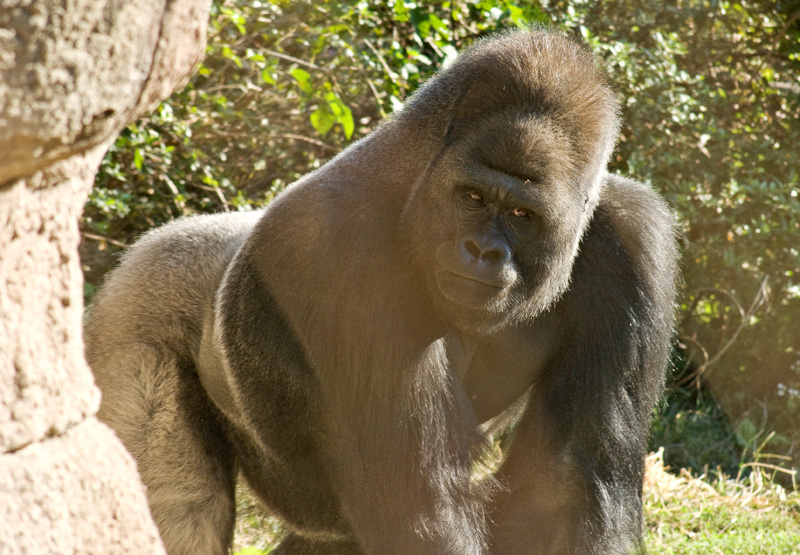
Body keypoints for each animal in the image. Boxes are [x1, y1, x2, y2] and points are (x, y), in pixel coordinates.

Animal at [84, 29, 680, 555]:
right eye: (471, 196)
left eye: (521, 215)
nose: (482, 251)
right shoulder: (347, 253)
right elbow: (421, 514)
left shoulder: (633, 239)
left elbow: (566, 486)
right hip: (134, 308)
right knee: (182, 509)